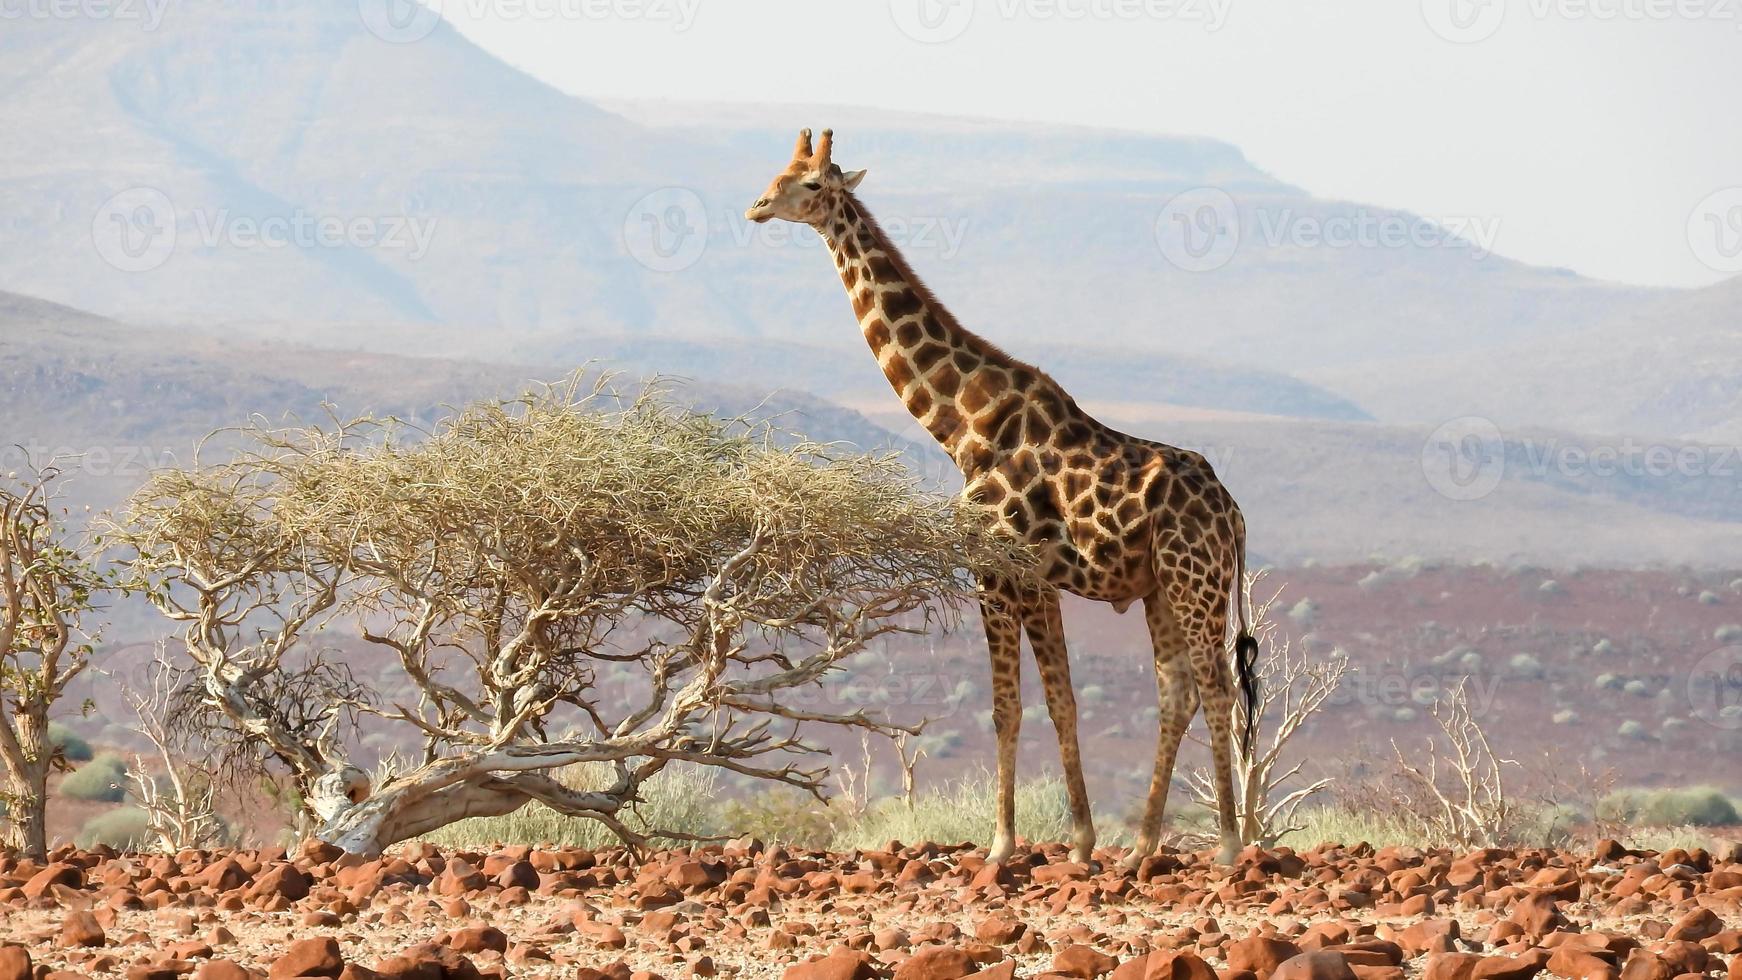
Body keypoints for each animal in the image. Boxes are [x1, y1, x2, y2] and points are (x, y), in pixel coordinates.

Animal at [742, 128, 1261, 866]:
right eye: (778, 174)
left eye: (810, 184)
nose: (757, 207)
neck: (960, 425)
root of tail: (1234, 514)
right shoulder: (1028, 575)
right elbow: (1055, 700)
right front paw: (1080, 843)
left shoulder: (1003, 567)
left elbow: (1014, 705)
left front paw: (1006, 843)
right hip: (1162, 587)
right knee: (1178, 692)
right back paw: (1142, 847)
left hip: (1197, 582)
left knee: (1216, 688)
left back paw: (1225, 847)